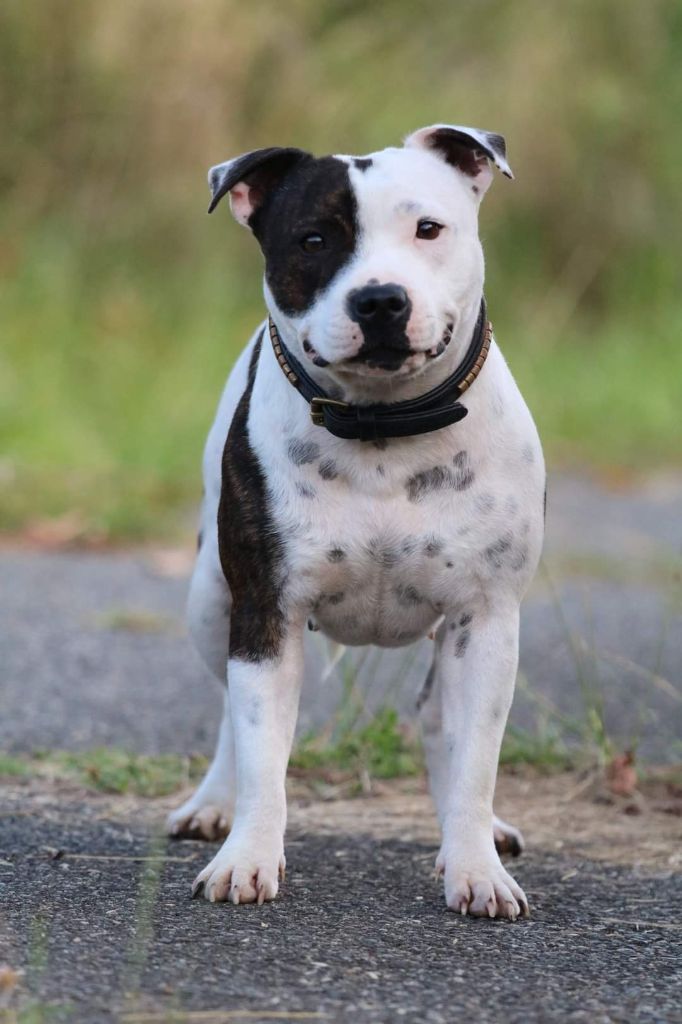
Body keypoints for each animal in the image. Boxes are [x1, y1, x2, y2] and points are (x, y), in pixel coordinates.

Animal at [167, 125, 545, 920]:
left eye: (428, 228)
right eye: (313, 239)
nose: (379, 300)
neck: (383, 426)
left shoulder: (486, 620)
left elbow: (477, 756)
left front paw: (476, 866)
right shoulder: (266, 613)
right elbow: (260, 746)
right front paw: (247, 857)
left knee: (438, 719)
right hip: (210, 600)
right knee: (228, 714)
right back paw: (213, 804)